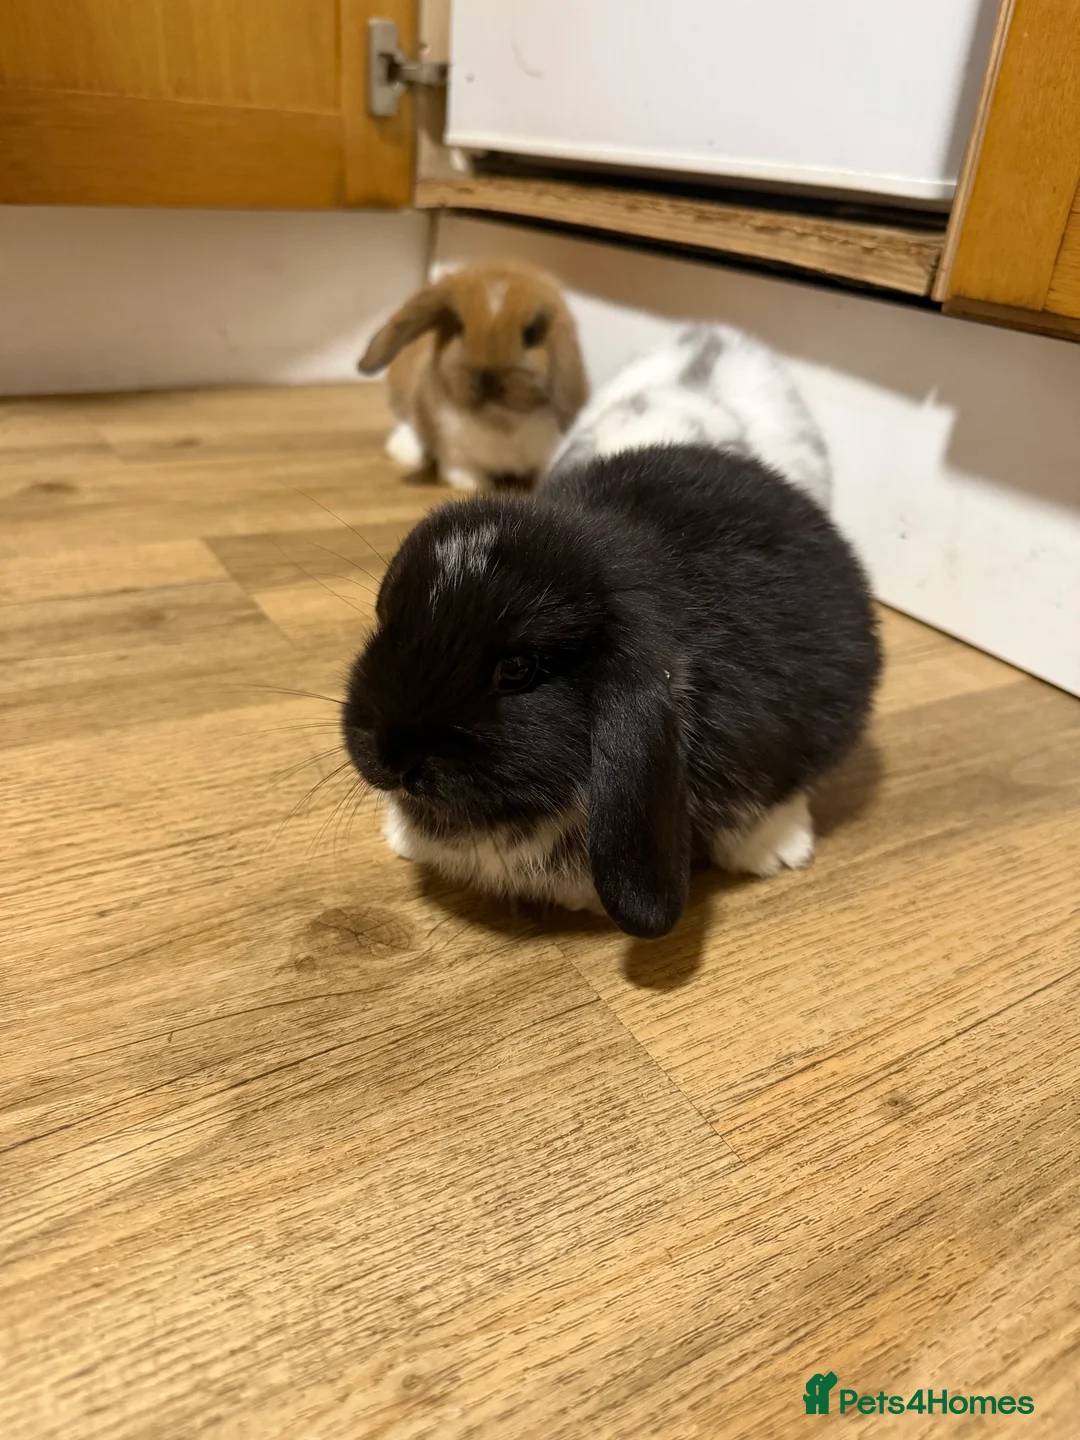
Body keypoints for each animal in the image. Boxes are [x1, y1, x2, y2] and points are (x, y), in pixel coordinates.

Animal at [357, 261, 588, 493]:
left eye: (530, 334)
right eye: (459, 327)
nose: (488, 379)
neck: (500, 421)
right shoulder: (452, 449)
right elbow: (460, 469)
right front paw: (474, 484)